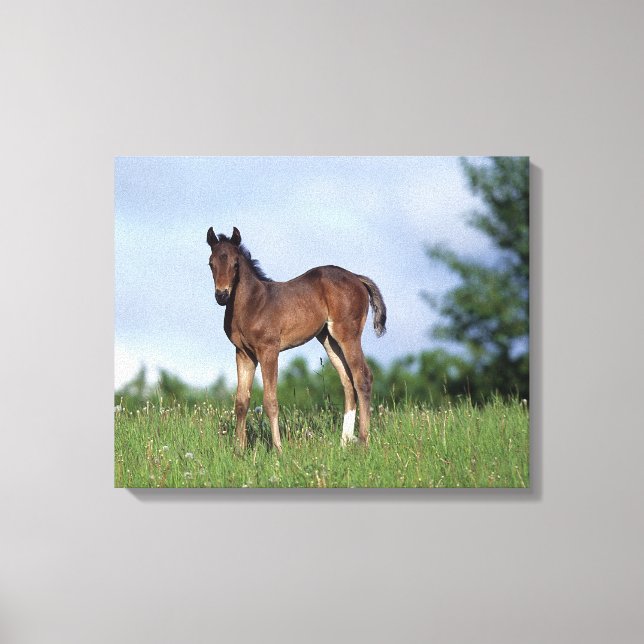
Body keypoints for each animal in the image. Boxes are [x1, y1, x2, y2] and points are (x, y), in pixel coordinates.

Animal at [207, 226, 386, 453]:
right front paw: (239, 450)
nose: (221, 295)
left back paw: (363, 441)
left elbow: (270, 401)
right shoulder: (244, 354)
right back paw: (343, 443)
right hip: (329, 340)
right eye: (211, 264)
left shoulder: (268, 350)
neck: (252, 303)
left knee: (362, 377)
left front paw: (278, 449)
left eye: (235, 264)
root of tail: (356, 277)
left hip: (348, 334)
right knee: (348, 382)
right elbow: (241, 402)